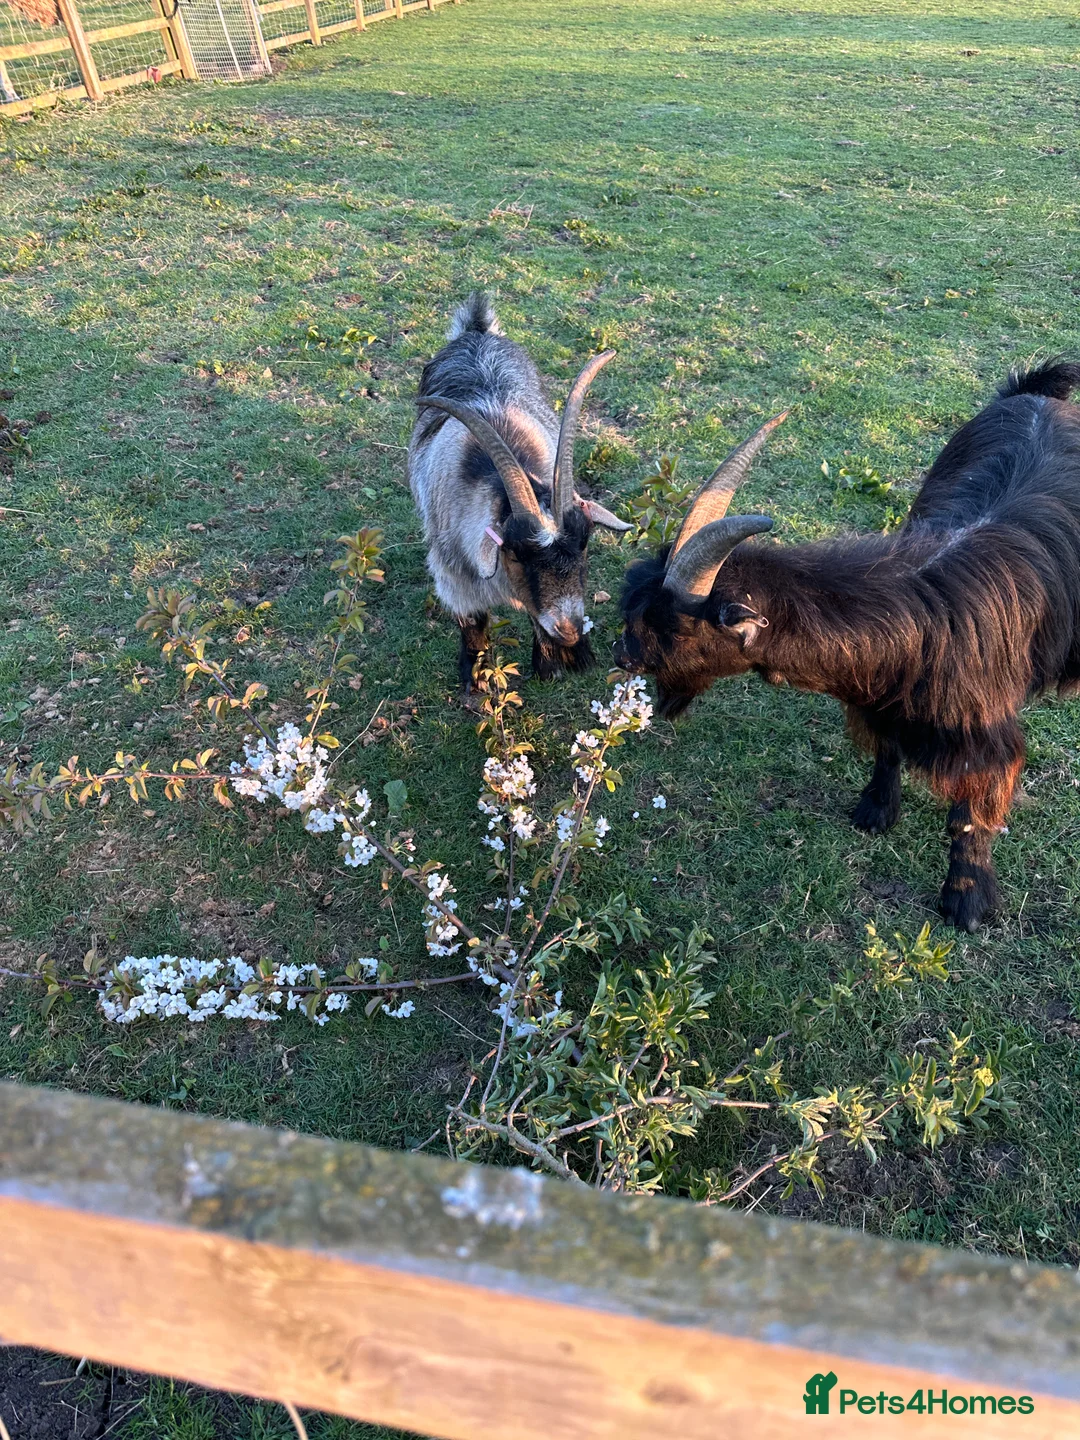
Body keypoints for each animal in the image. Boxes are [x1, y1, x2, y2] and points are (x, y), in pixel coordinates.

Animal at [408, 293, 630, 690]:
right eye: (515, 553)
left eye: (586, 541)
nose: (570, 632)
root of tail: (477, 330)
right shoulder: (453, 575)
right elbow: (474, 621)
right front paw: (476, 677)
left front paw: (550, 662)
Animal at [615, 361, 1080, 931]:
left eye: (677, 628)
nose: (621, 655)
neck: (924, 621)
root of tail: (1036, 392)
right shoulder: (879, 698)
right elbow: (886, 748)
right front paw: (876, 811)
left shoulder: (983, 736)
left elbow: (971, 816)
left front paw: (966, 901)